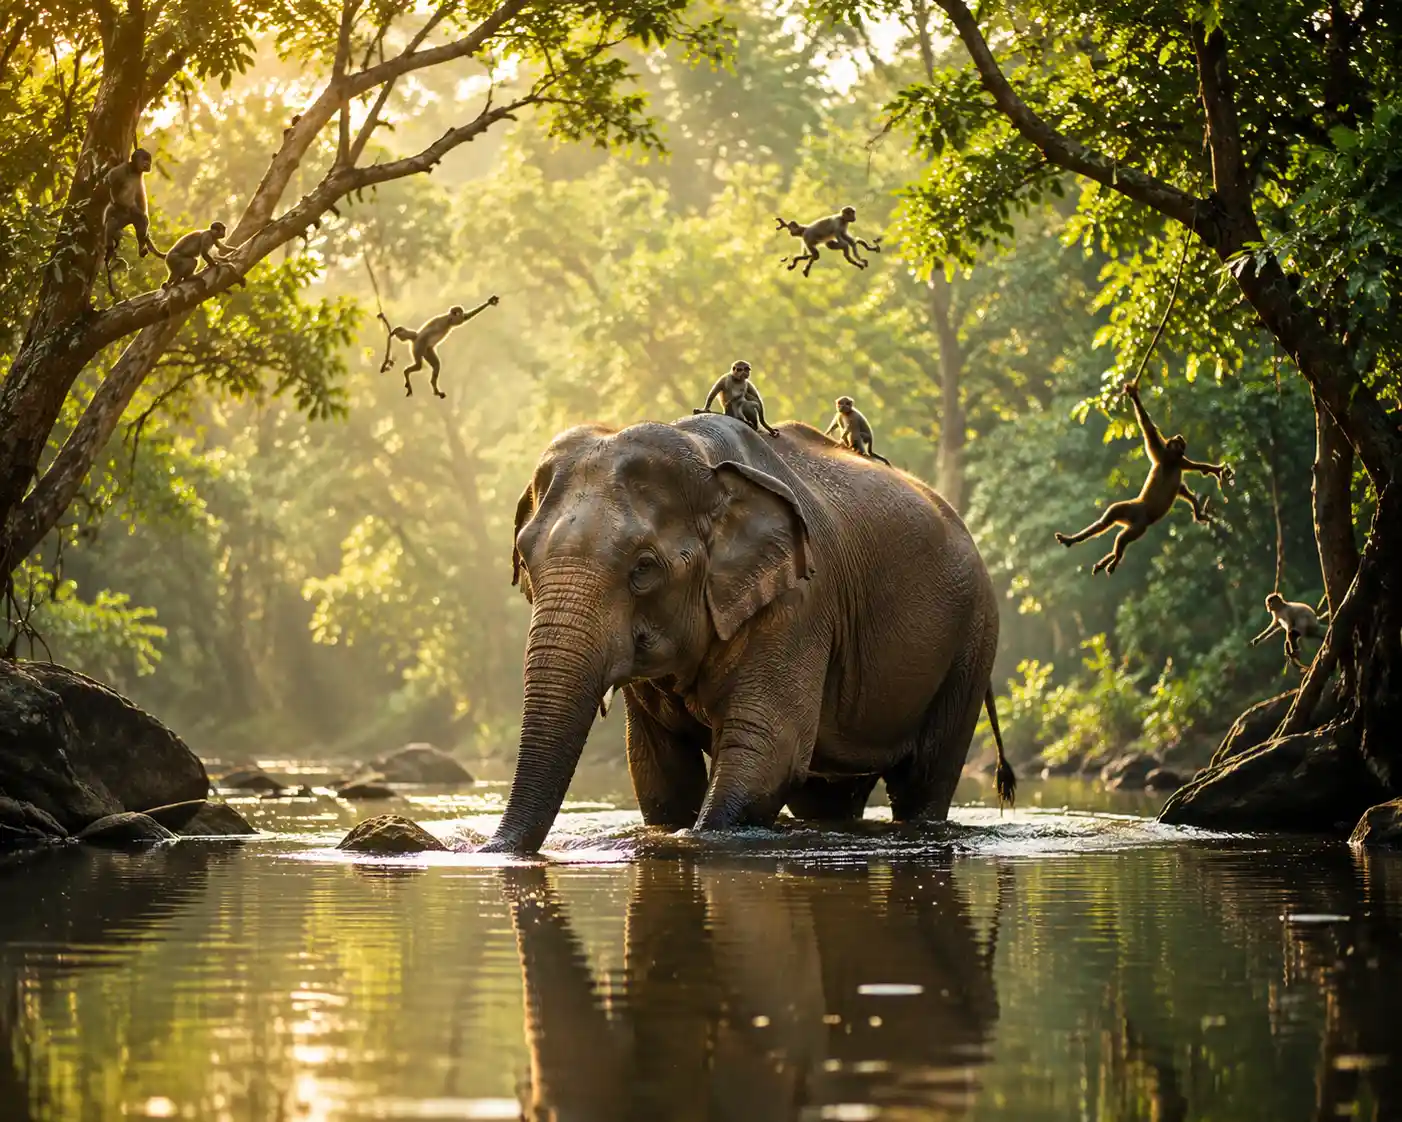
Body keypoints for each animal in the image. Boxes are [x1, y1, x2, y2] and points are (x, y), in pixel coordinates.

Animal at [100, 147, 164, 297]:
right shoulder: (121, 169)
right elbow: (110, 184)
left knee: (140, 222)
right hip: (121, 215)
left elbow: (142, 209)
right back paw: (110, 250)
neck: (134, 171)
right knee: (113, 221)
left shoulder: (139, 178)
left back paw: (141, 247)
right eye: (145, 159)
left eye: (149, 160)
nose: (148, 164)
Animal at [483, 413, 1014, 854]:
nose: (489, 849)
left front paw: (700, 838)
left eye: (644, 568)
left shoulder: (800, 602)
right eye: (524, 558)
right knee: (828, 796)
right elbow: (658, 771)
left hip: (973, 638)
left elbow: (767, 748)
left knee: (925, 776)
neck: (701, 456)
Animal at [1054, 382, 1233, 575]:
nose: (1178, 439)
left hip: (1127, 514)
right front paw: (1134, 395)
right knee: (1121, 537)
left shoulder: (1175, 459)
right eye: (1177, 442)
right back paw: (1112, 559)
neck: (1170, 460)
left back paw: (1085, 547)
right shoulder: (1166, 453)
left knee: (1106, 524)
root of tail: (1137, 511)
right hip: (1139, 523)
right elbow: (1148, 426)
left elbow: (1185, 483)